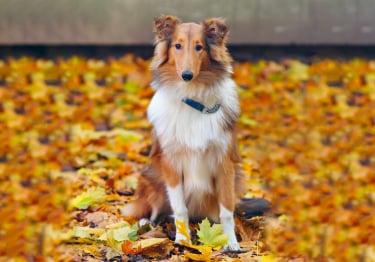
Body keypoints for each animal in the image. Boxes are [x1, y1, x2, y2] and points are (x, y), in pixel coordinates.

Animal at [122, 14, 247, 252]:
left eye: (199, 47)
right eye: (177, 46)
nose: (187, 75)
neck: (192, 98)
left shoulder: (224, 164)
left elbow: (227, 210)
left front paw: (230, 242)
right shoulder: (171, 162)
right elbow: (179, 208)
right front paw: (183, 241)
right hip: (151, 177)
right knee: (153, 211)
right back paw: (146, 225)